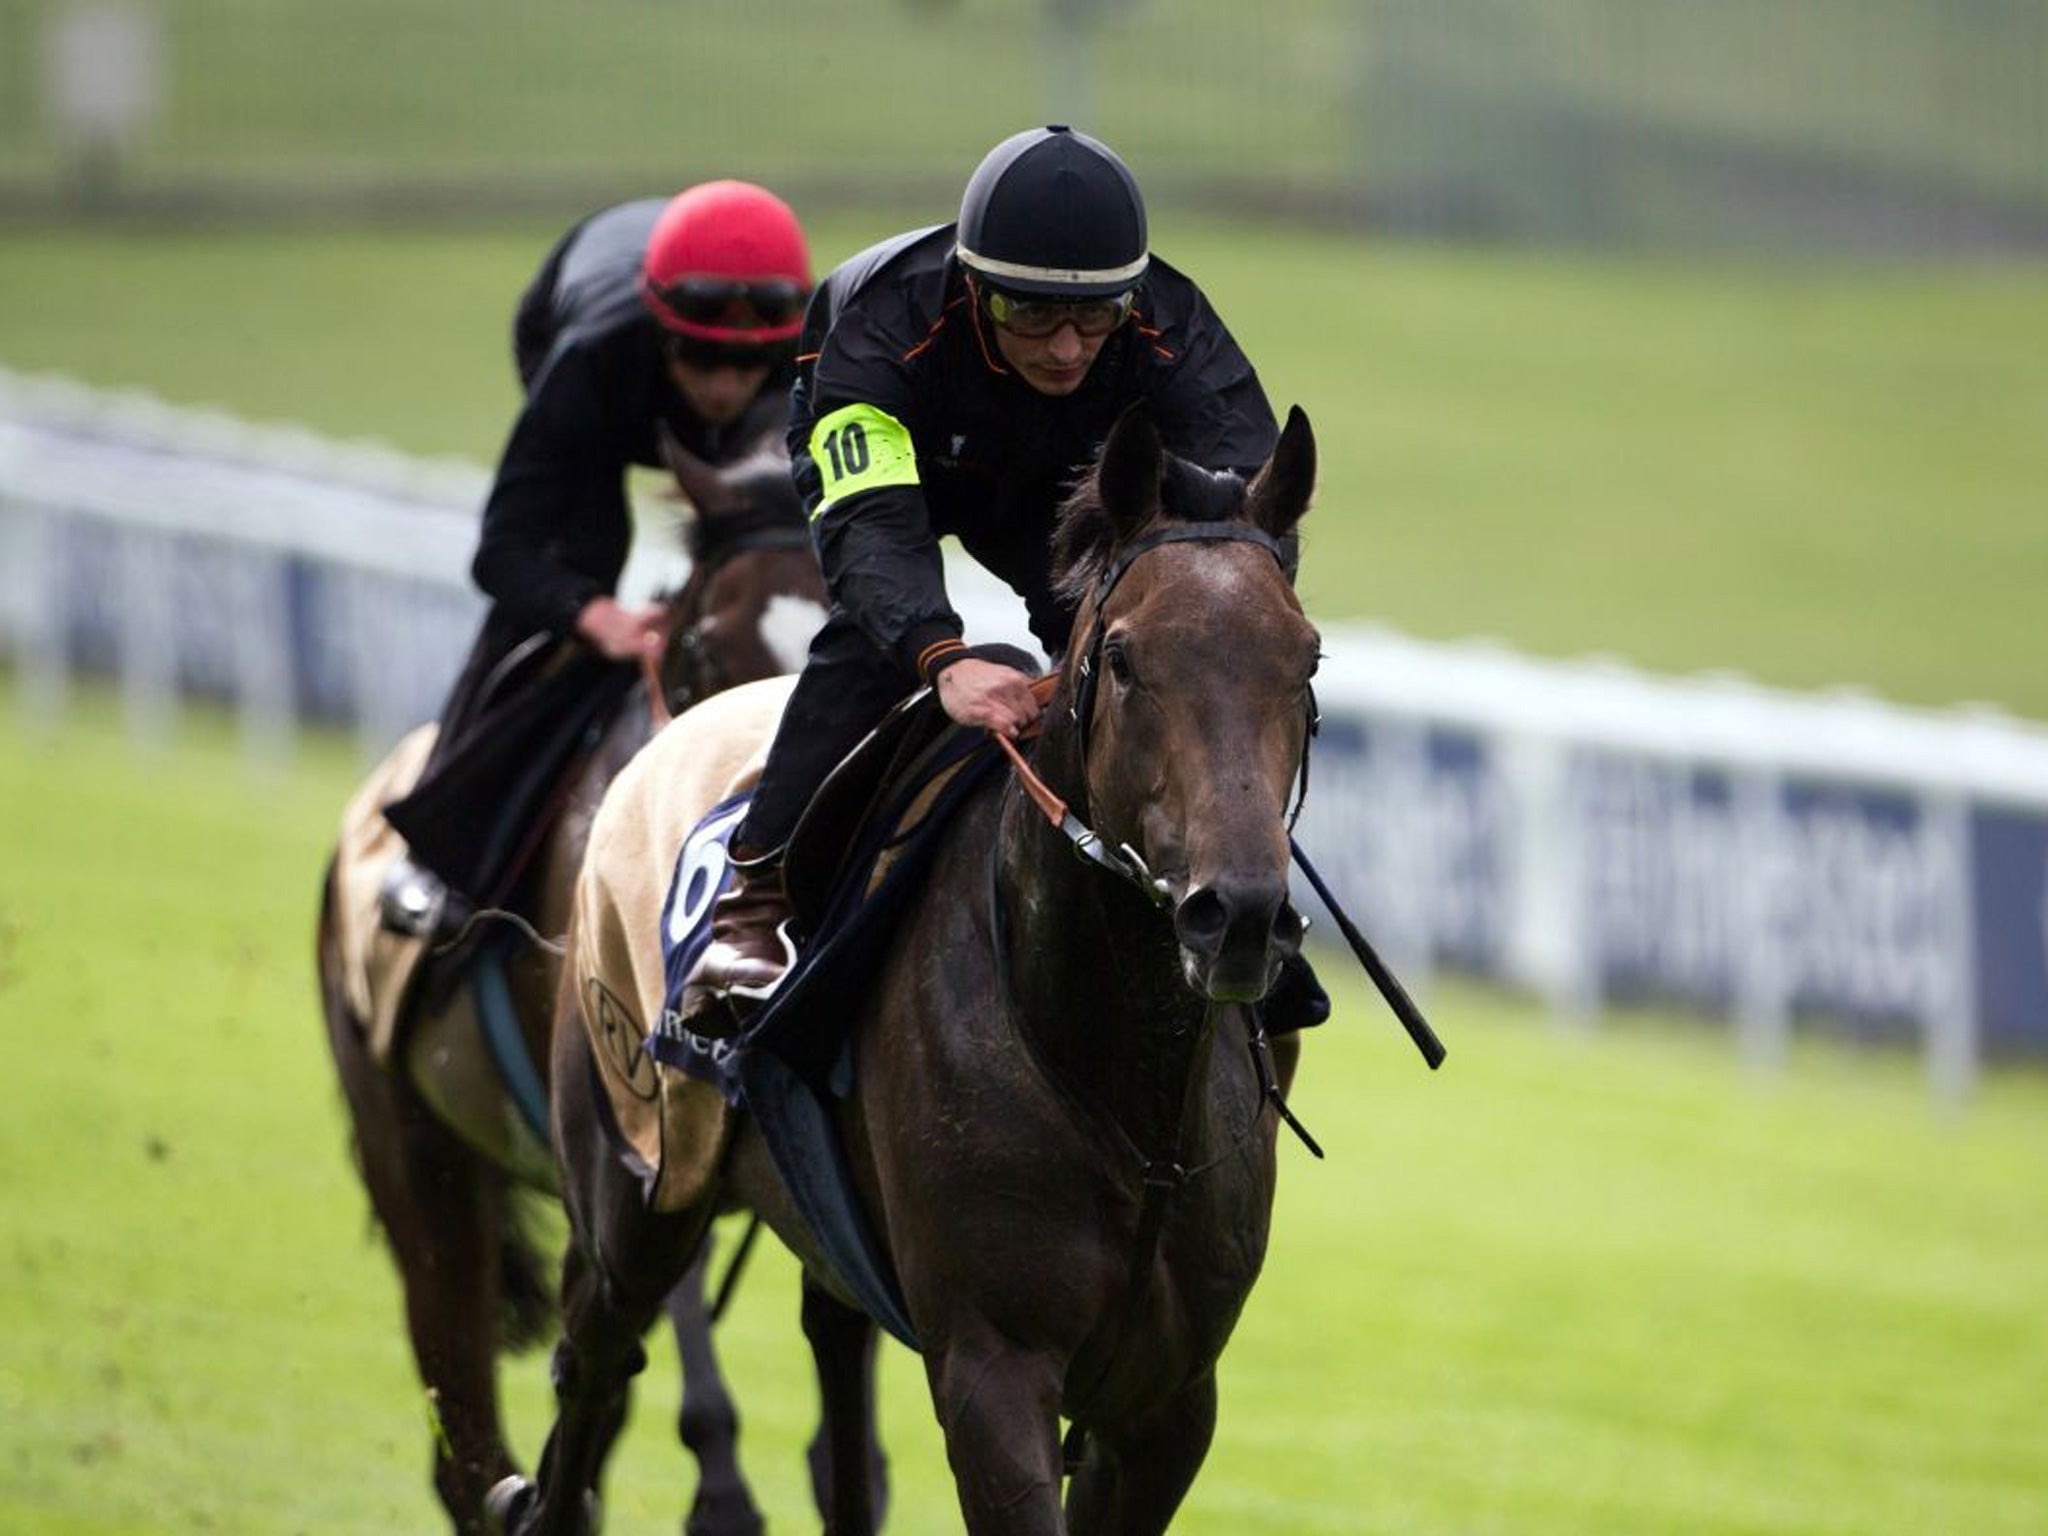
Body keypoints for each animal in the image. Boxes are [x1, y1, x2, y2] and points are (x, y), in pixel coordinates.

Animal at [516, 403, 1327, 1531]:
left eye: (1305, 658)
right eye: (1123, 658)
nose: (1237, 915)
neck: (1119, 1084)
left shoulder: (1166, 1399)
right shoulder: (993, 1365)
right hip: (635, 1170)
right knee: (591, 1369)